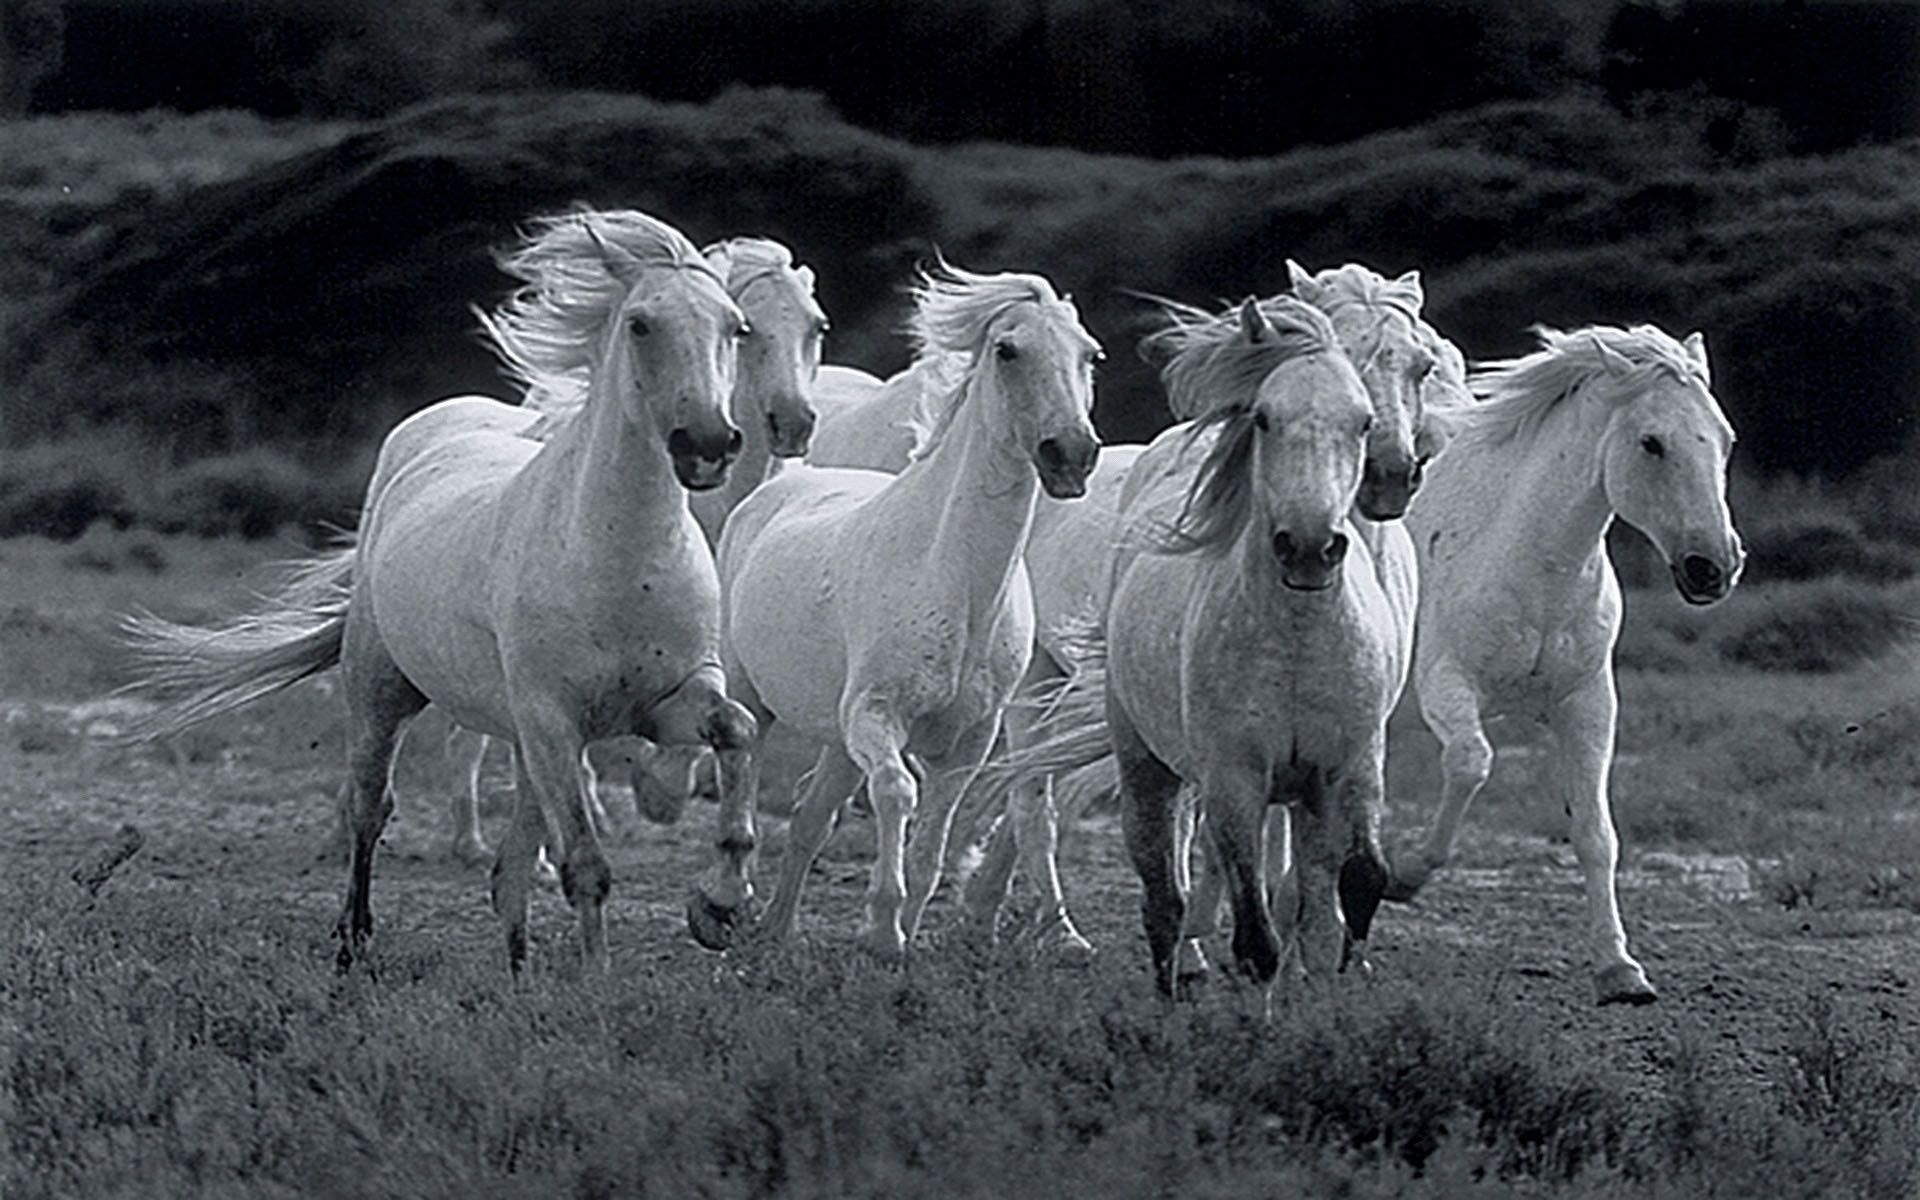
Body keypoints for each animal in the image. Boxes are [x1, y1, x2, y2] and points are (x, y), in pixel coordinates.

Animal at [120, 209, 760, 971]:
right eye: (639, 323)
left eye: (736, 327)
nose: (708, 444)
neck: (617, 557)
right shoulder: (554, 720)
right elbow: (585, 866)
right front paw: (599, 981)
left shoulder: (664, 701)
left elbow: (736, 730)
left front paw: (719, 906)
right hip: (381, 693)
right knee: (371, 809)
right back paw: (352, 945)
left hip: (519, 739)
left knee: (507, 869)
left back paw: (517, 970)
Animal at [717, 260, 1102, 959]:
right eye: (1007, 350)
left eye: (1089, 354)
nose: (1071, 453)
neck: (948, 577)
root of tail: (778, 486)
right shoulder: (875, 716)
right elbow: (898, 793)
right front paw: (880, 930)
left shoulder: (969, 742)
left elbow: (932, 842)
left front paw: (903, 937)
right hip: (750, 696)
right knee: (743, 773)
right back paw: (722, 908)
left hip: (837, 739)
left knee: (811, 815)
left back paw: (777, 932)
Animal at [961, 262, 1471, 959]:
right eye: (1342, 350)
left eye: (1421, 365)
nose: (1391, 475)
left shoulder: (1356, 734)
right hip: (1043, 679)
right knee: (1038, 798)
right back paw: (1064, 929)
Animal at [1385, 323, 1744, 1005]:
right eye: (1651, 442)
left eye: (1725, 438)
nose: (1713, 567)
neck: (1530, 561)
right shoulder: (1446, 687)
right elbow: (1471, 764)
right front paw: (1402, 875)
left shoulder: (1586, 703)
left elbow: (1597, 835)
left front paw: (1620, 970)